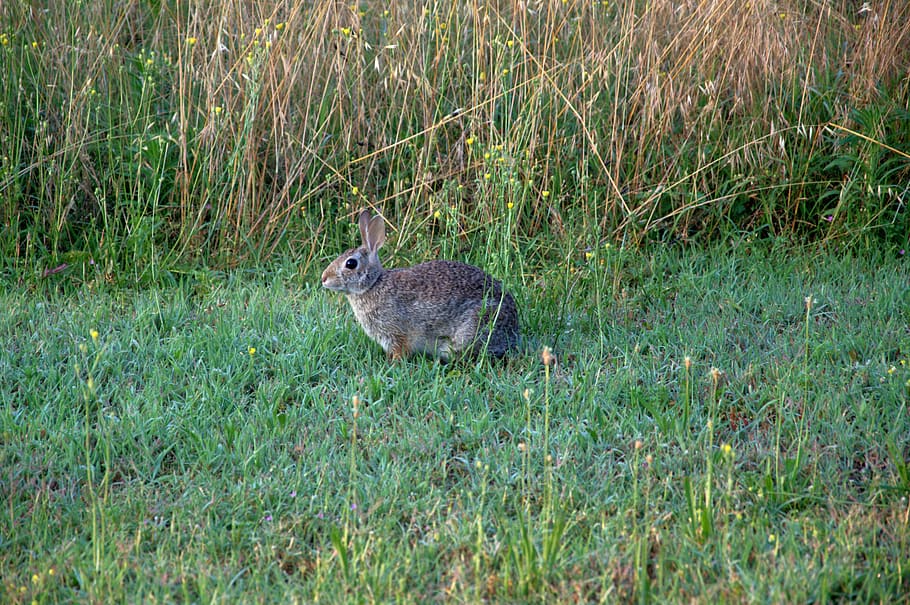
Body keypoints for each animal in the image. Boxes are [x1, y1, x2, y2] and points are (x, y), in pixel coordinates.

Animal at [321, 209, 520, 361]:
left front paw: (393, 364)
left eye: (350, 264)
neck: (373, 284)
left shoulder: (397, 333)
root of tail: (513, 330)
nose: (323, 278)